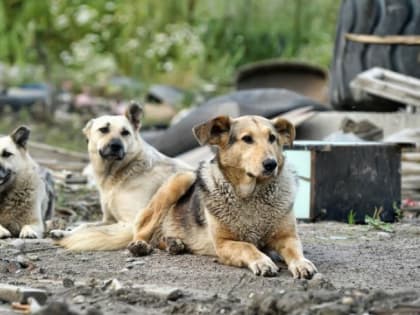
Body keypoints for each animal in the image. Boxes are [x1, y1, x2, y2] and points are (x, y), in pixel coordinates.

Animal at [51, 102, 194, 251]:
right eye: (103, 129)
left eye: (125, 132)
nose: (116, 145)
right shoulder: (108, 220)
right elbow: (86, 225)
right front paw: (64, 232)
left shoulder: (130, 221)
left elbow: (94, 230)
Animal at [128, 116, 316, 278]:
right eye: (247, 139)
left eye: (272, 138)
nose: (271, 164)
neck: (252, 194)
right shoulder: (223, 243)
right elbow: (247, 247)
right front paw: (263, 261)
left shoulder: (287, 237)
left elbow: (295, 251)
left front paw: (302, 263)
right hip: (182, 179)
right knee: (144, 228)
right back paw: (140, 245)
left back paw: (174, 243)